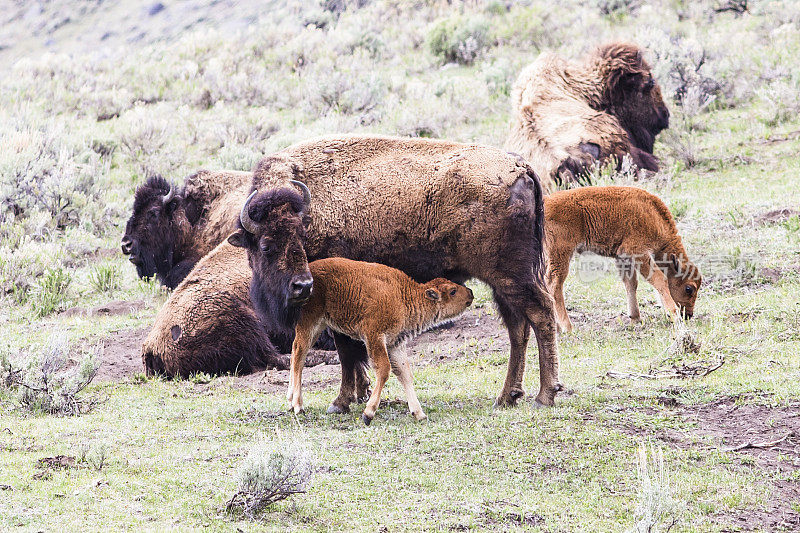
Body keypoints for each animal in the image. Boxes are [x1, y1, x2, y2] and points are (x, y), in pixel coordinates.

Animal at [288, 258, 476, 424]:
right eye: (452, 291)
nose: (471, 293)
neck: (403, 296)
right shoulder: (375, 337)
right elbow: (384, 369)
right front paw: (368, 414)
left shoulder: (395, 344)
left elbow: (405, 374)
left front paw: (419, 414)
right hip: (310, 323)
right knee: (299, 354)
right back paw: (298, 406)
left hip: (317, 325)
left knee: (296, 354)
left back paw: (290, 401)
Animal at [544, 185, 700, 330]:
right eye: (689, 289)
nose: (688, 315)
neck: (653, 215)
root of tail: (545, 202)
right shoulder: (638, 253)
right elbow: (659, 279)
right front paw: (674, 316)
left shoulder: (623, 257)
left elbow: (631, 283)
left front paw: (635, 318)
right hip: (561, 253)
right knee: (554, 284)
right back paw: (567, 327)